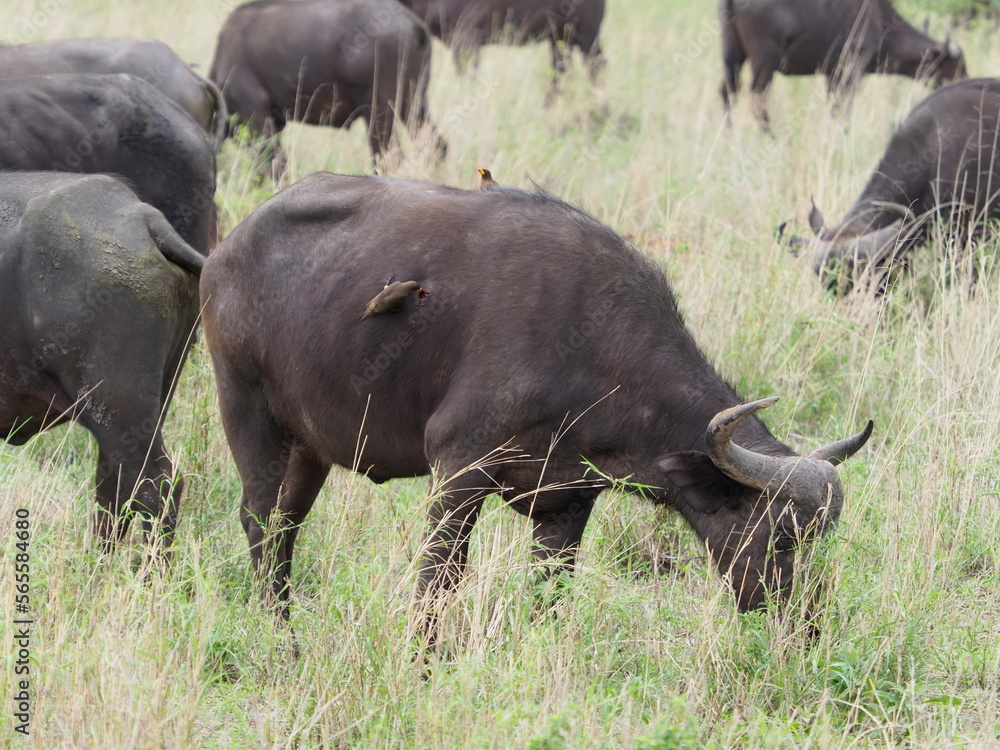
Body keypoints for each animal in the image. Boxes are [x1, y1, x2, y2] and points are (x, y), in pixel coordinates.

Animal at [201, 173, 872, 640]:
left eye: (821, 538)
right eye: (783, 537)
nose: (807, 627)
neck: (597, 346)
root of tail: (226, 250)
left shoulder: (566, 503)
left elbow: (550, 595)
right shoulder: (458, 471)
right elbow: (438, 581)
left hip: (308, 447)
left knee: (286, 528)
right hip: (249, 414)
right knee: (259, 522)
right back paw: (281, 641)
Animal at [209, 0, 445, 160]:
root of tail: (412, 24)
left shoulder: (256, 119)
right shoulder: (275, 122)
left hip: (380, 114)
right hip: (415, 106)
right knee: (438, 146)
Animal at [720, 0, 967, 130]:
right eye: (958, 65)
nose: (965, 82)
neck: (880, 21)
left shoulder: (832, 74)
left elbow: (834, 107)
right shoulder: (852, 68)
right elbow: (845, 106)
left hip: (733, 57)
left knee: (727, 92)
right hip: (764, 62)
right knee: (757, 97)